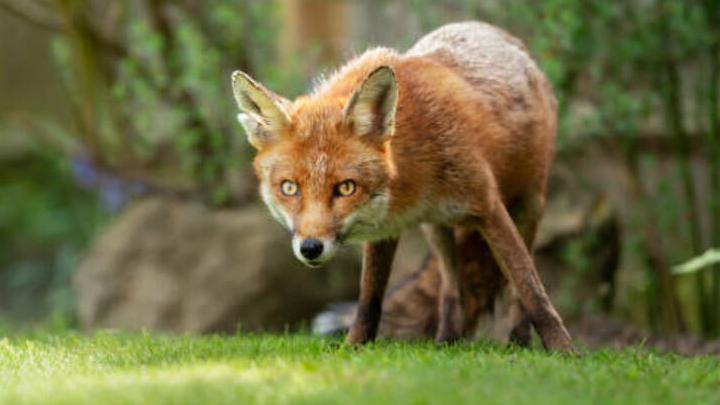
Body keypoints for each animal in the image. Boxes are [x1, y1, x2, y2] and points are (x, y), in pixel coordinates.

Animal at [231, 21, 572, 350]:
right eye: (289, 188)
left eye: (346, 188)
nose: (311, 248)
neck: (412, 187)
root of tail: (497, 32)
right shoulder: (384, 231)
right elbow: (369, 300)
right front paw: (353, 348)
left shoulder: (488, 206)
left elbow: (531, 288)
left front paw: (565, 351)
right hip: (437, 231)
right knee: (451, 289)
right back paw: (445, 343)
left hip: (528, 206)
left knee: (513, 293)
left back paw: (518, 342)